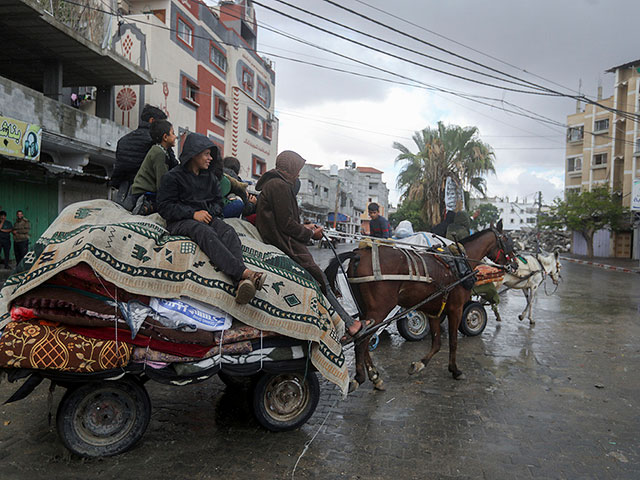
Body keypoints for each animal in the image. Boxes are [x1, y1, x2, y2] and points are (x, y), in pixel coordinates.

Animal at [328, 219, 516, 392]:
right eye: (507, 240)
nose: (514, 264)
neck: (460, 262)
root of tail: (359, 255)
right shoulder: (456, 309)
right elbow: (453, 342)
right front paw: (455, 370)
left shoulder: (434, 310)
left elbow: (437, 343)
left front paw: (419, 364)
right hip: (379, 309)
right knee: (361, 341)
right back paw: (359, 377)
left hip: (365, 311)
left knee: (363, 339)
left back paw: (375, 377)